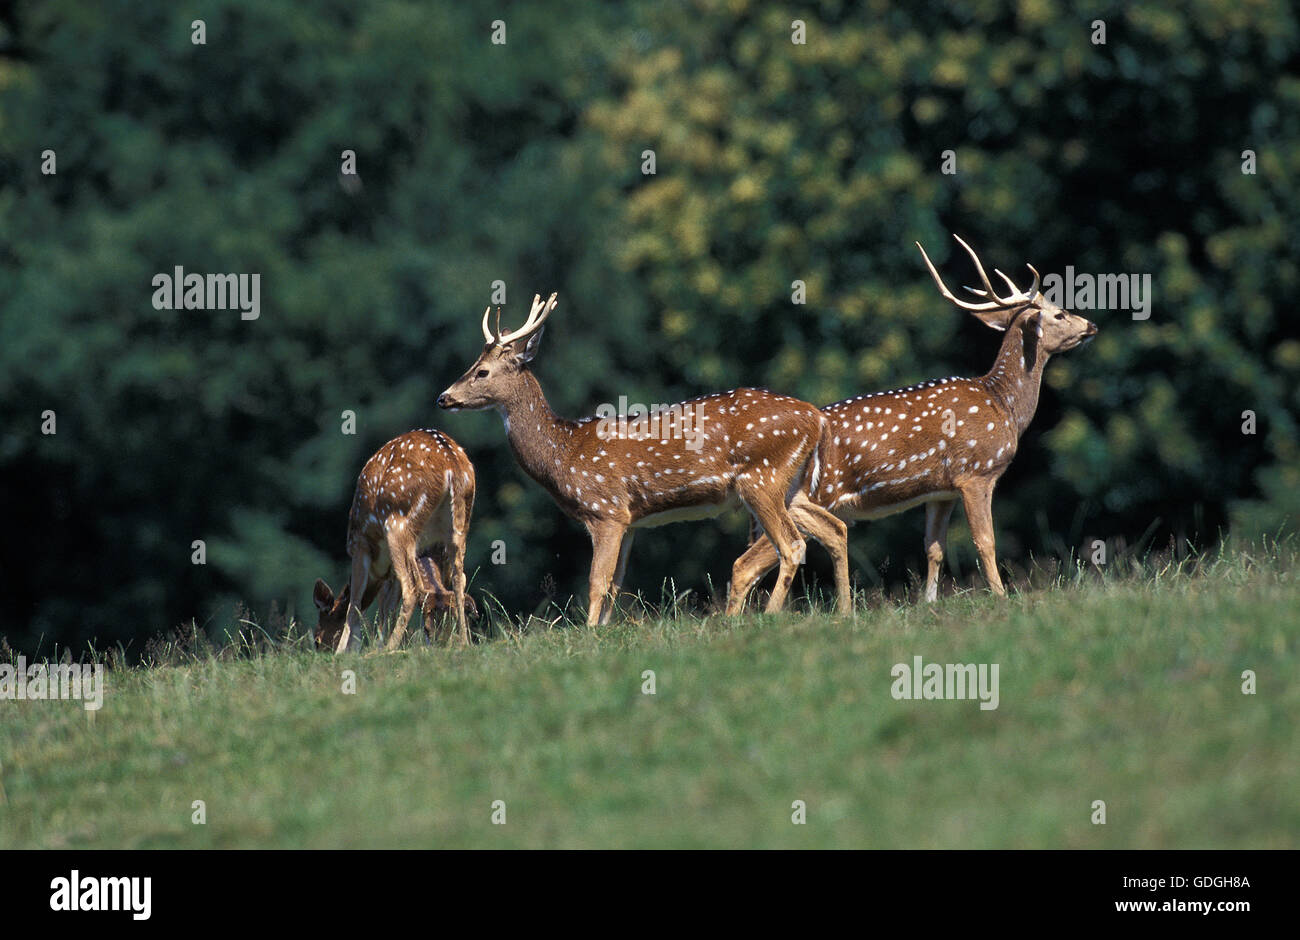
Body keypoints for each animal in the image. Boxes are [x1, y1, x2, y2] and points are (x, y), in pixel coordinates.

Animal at [314, 429, 478, 655]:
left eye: (317, 639)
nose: (321, 651)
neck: (378, 571)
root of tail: (452, 465)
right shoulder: (390, 573)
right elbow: (386, 609)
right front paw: (373, 644)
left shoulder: (359, 546)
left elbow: (354, 604)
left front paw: (345, 652)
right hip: (458, 528)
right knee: (458, 579)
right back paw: (464, 643)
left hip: (397, 523)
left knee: (412, 588)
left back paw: (388, 649)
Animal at [431, 287, 847, 624]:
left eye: (482, 372)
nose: (443, 397)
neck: (563, 450)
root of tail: (815, 418)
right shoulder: (630, 520)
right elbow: (616, 584)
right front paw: (603, 631)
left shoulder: (605, 509)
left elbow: (597, 582)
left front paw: (588, 635)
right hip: (790, 485)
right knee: (833, 528)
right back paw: (845, 611)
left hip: (761, 477)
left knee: (792, 545)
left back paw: (772, 615)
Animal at [733, 234, 1097, 603]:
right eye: (1059, 313)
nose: (1091, 326)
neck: (1002, 404)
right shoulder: (976, 473)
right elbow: (985, 542)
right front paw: (1000, 597)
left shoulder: (941, 491)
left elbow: (934, 548)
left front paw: (929, 601)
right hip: (809, 497)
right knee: (748, 563)